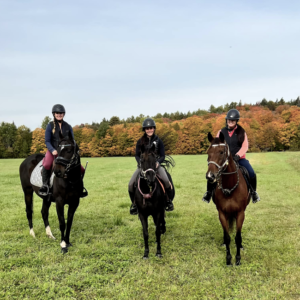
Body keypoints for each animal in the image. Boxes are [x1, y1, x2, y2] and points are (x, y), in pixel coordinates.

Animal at [206, 131, 251, 264]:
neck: (230, 186)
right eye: (208, 152)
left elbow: (237, 237)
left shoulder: (240, 213)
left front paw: (238, 259)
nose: (210, 176)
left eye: (221, 152)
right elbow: (227, 237)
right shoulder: (222, 213)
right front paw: (228, 258)